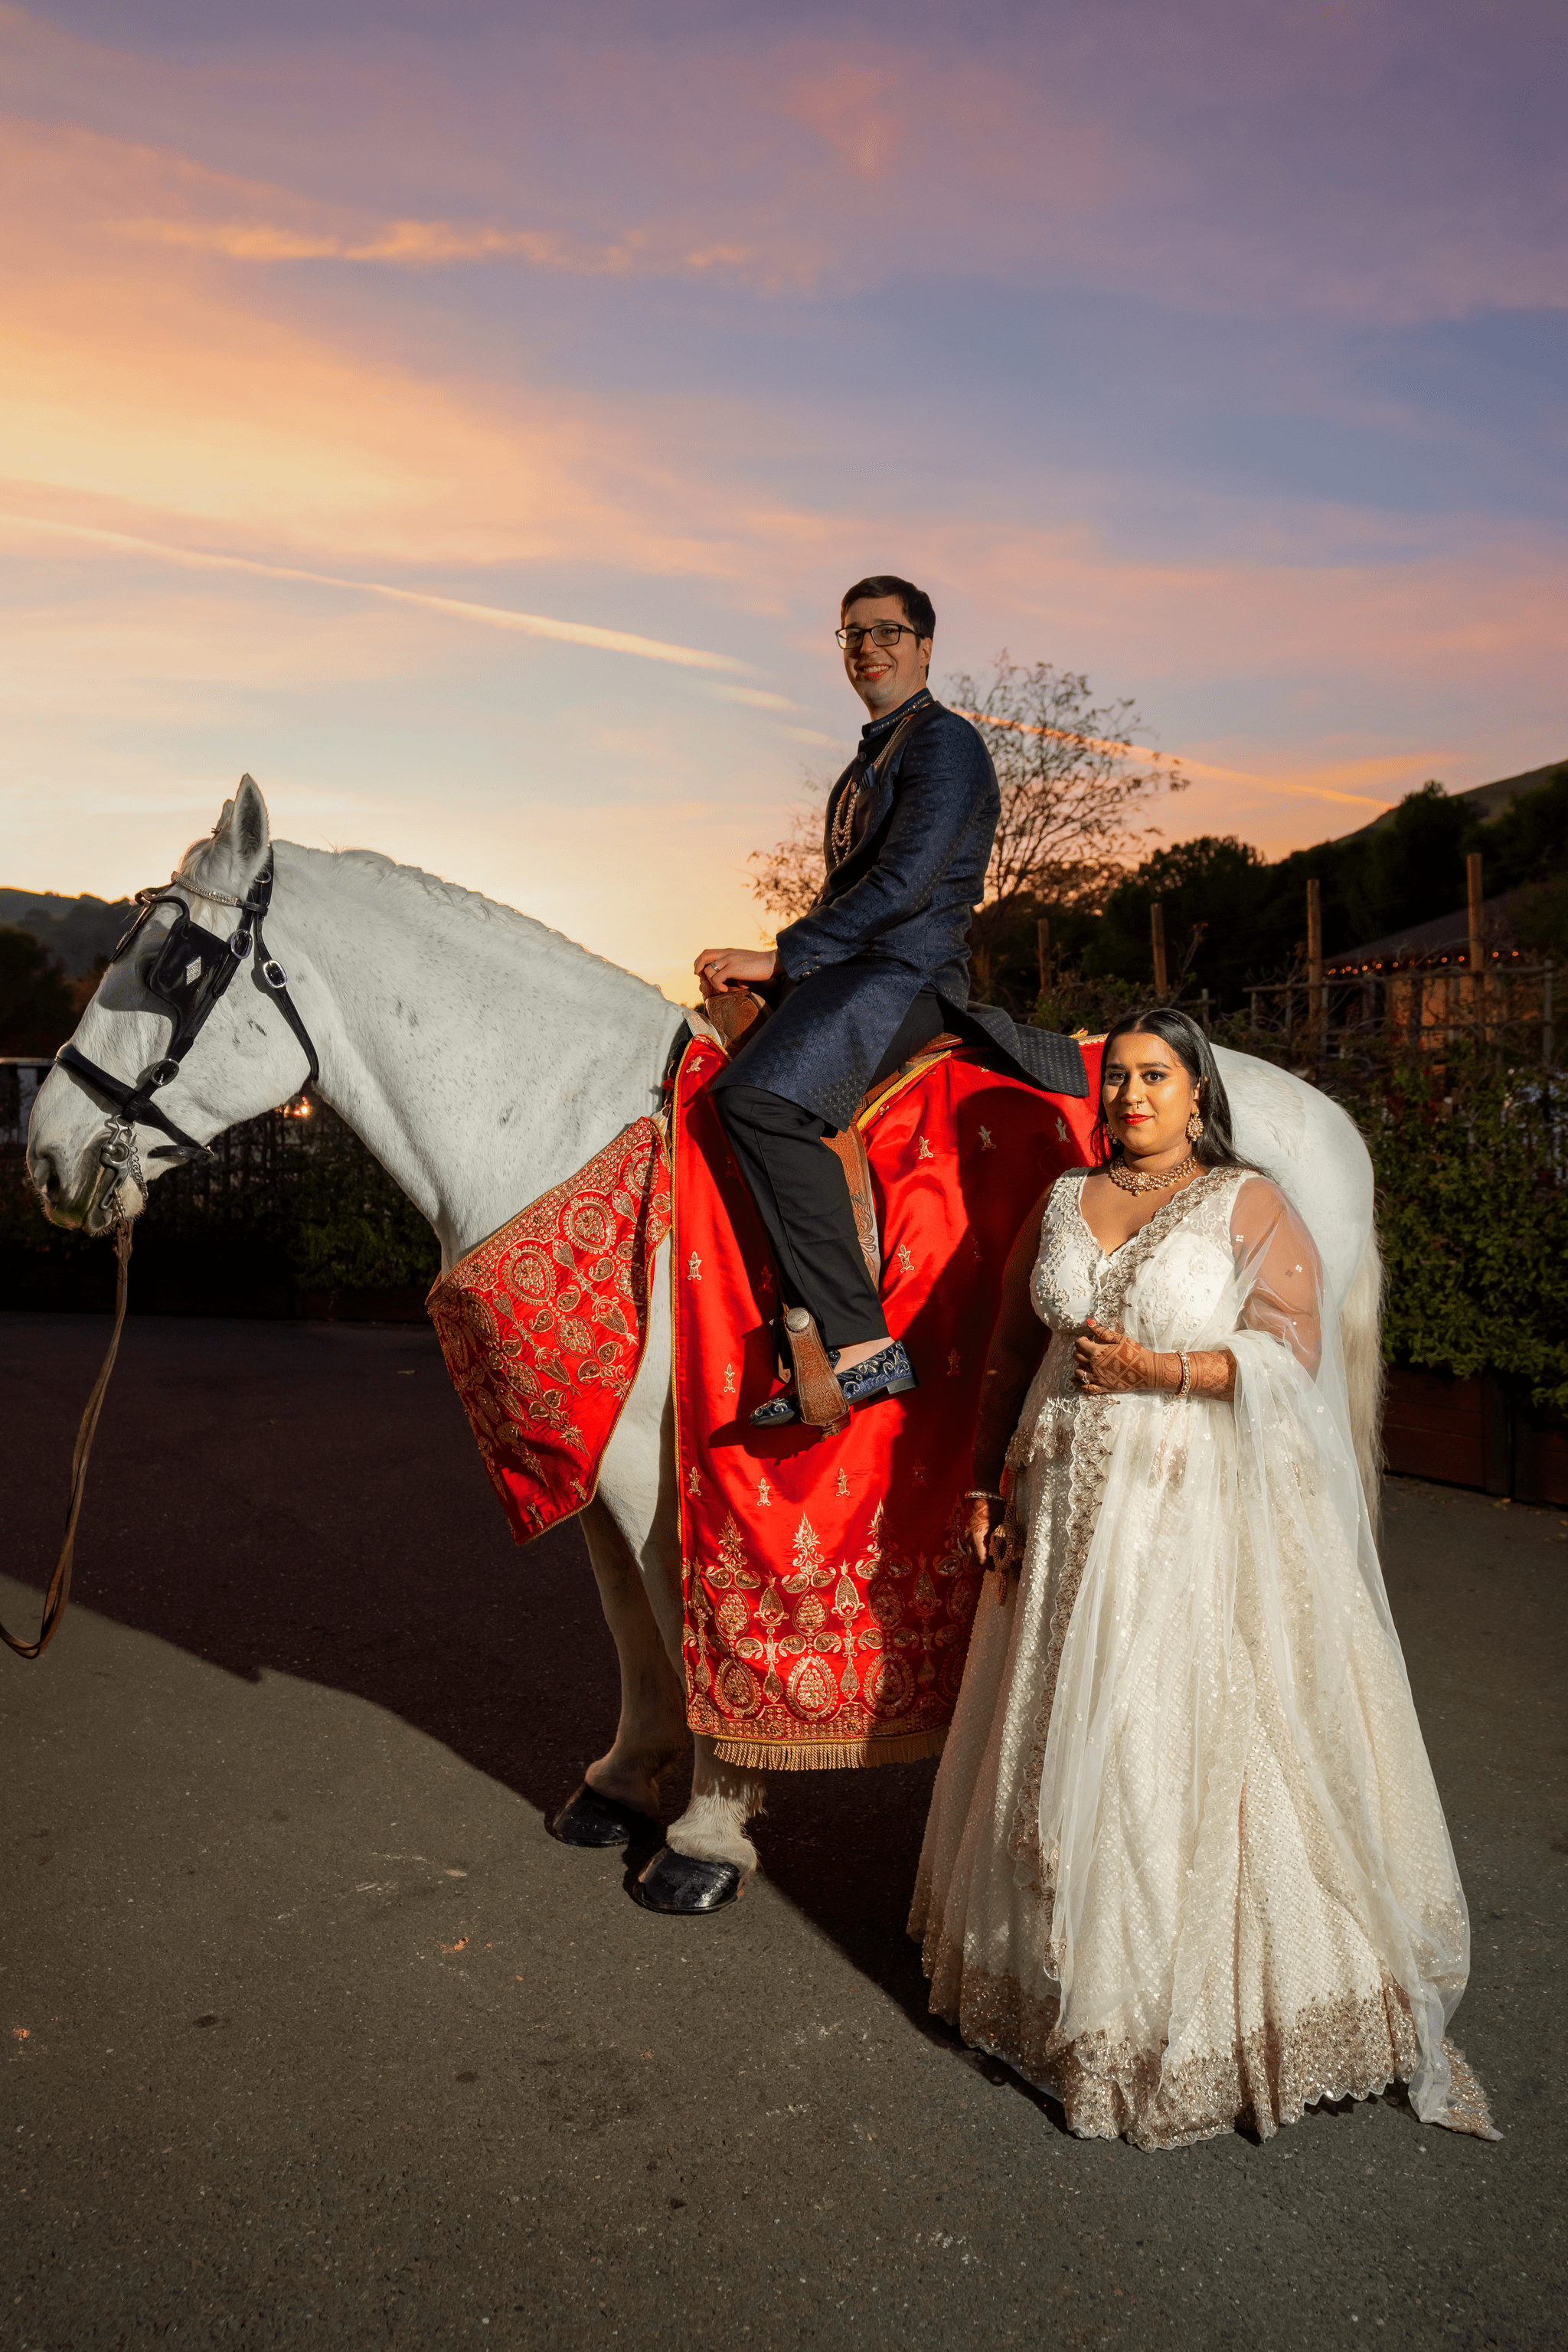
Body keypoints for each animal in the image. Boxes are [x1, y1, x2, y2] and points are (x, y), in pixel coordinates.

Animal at [21, 786, 1373, 1890]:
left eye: (174, 966)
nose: (44, 1151)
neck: (568, 1124)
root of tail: (1321, 1112)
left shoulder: (681, 1477)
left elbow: (696, 1628)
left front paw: (709, 1832)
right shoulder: (608, 1460)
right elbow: (635, 1633)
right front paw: (625, 1785)